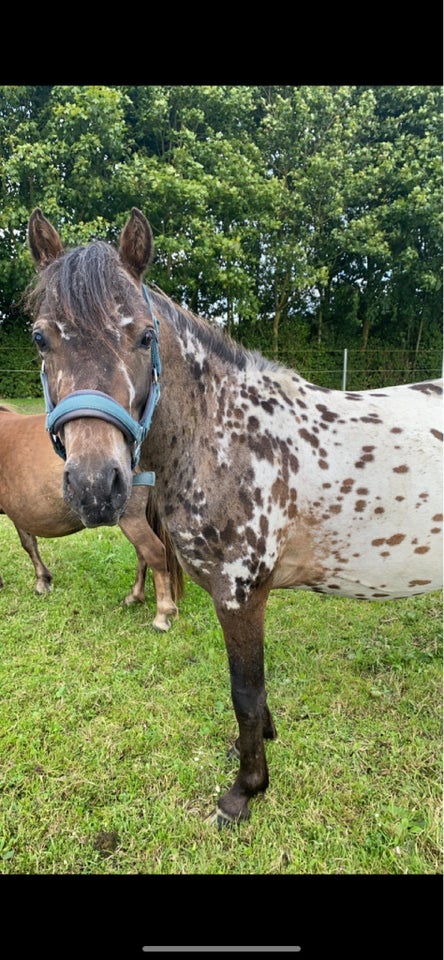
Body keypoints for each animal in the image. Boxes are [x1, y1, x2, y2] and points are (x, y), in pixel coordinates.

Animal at [0, 404, 183, 632]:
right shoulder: (19, 513)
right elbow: (29, 543)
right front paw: (43, 580)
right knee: (143, 554)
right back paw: (134, 596)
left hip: (130, 518)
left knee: (154, 552)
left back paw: (162, 614)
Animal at [25, 208, 444, 824]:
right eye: (40, 338)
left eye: (144, 336)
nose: (96, 486)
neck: (228, 436)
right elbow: (256, 694)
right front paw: (256, 749)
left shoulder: (240, 594)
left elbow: (244, 692)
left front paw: (244, 790)